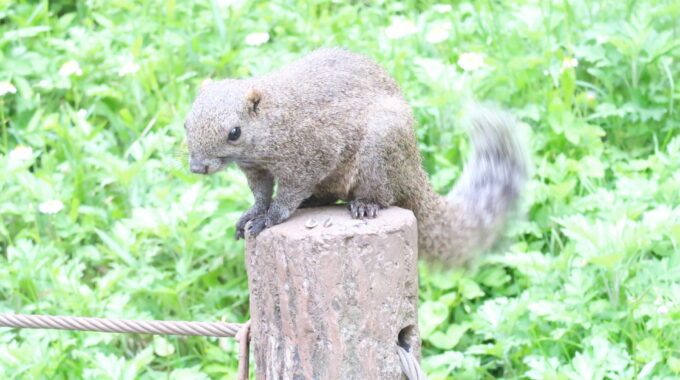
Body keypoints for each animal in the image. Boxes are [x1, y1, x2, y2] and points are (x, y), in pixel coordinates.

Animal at [186, 48, 532, 264]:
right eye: (187, 123)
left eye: (234, 132)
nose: (197, 167)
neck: (274, 120)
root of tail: (414, 171)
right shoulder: (255, 168)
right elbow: (260, 193)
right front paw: (253, 212)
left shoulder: (314, 151)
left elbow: (289, 191)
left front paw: (271, 216)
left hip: (379, 154)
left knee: (382, 195)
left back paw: (365, 204)